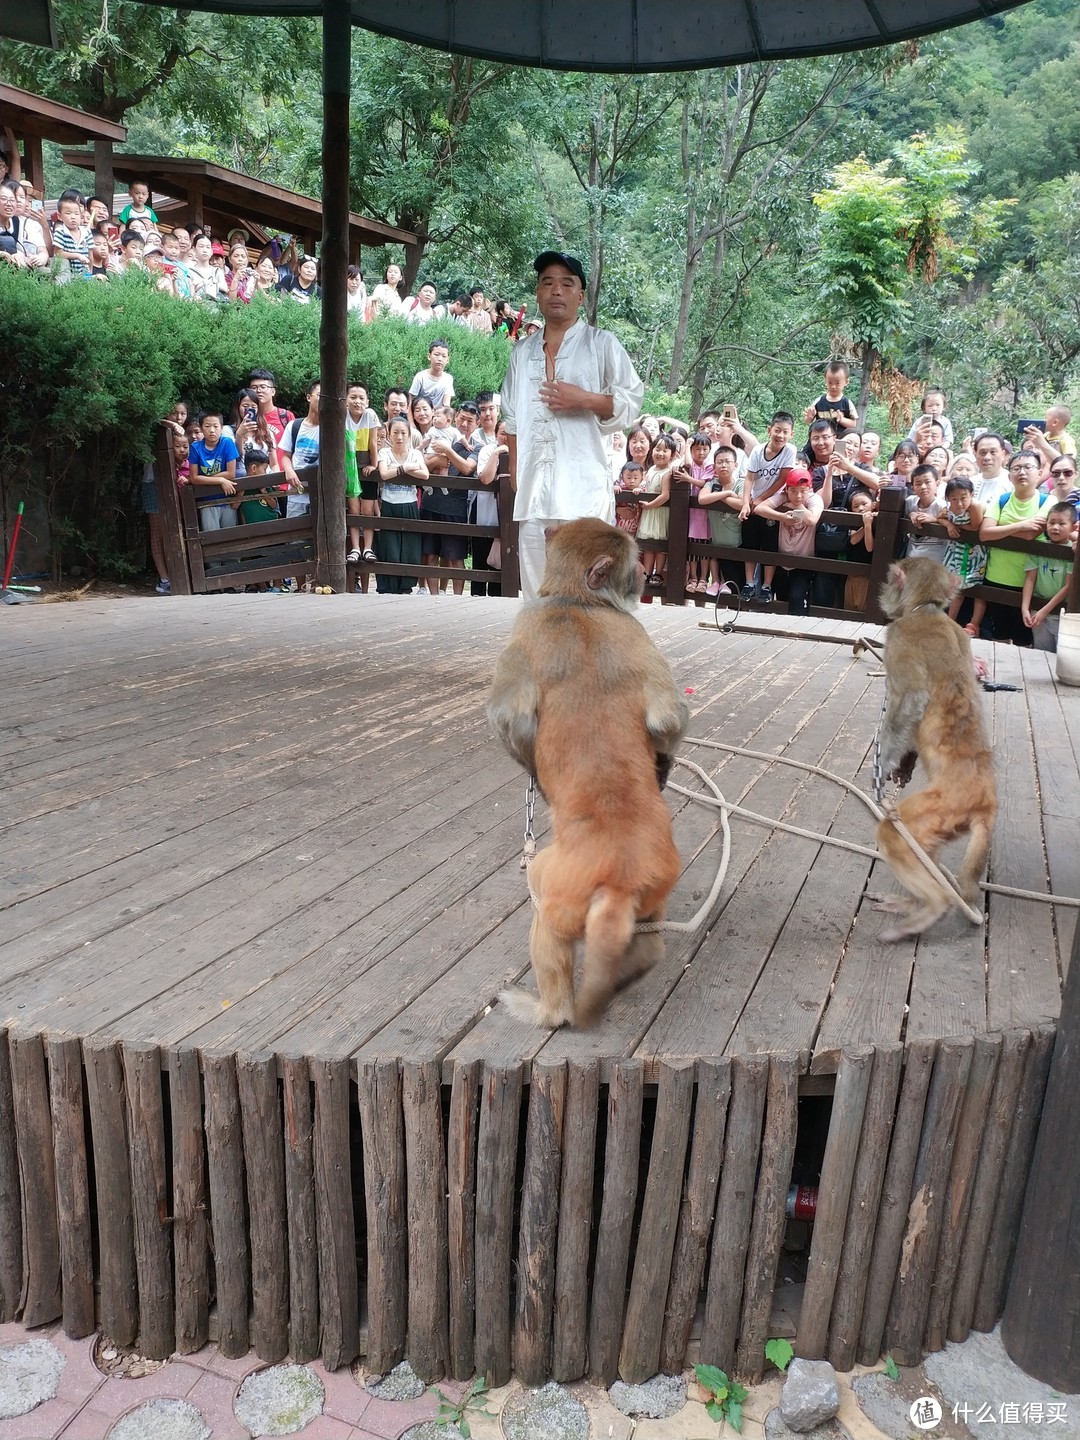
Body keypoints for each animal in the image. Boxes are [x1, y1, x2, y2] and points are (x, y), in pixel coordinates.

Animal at [486, 518, 688, 1025]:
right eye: (633, 564)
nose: (643, 577)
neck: (577, 601)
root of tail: (618, 877)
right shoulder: (634, 628)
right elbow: (668, 717)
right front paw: (662, 763)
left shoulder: (526, 622)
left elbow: (509, 719)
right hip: (659, 878)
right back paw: (642, 958)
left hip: (561, 886)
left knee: (545, 916)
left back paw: (550, 1010)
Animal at [869, 558, 996, 944]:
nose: (884, 592)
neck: (926, 608)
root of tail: (986, 800)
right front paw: (902, 768)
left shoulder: (898, 637)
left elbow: (912, 699)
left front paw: (884, 766)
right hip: (947, 820)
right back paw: (915, 904)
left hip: (940, 807)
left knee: (893, 832)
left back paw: (934, 907)